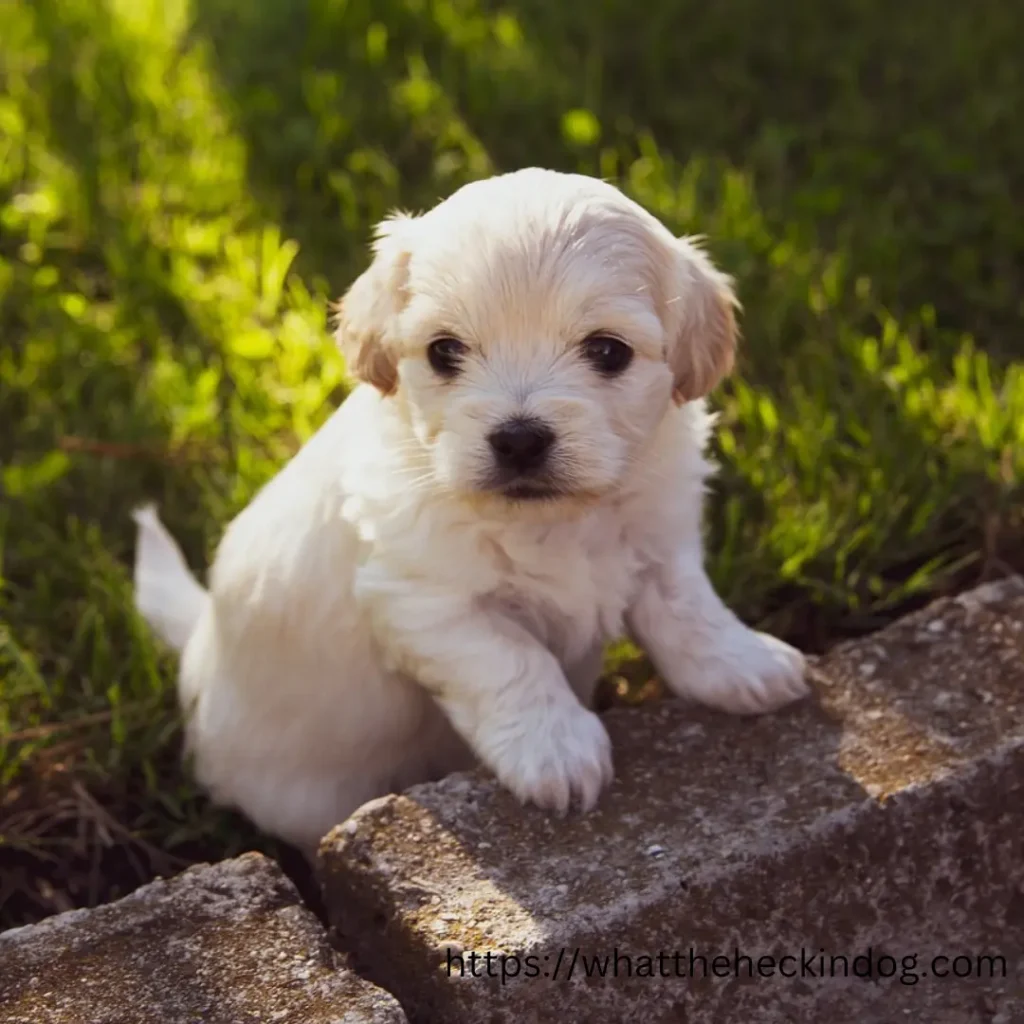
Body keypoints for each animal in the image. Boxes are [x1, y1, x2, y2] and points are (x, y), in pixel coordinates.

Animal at [134, 169, 806, 856]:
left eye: (608, 352)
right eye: (444, 352)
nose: (519, 439)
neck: (553, 520)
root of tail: (199, 648)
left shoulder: (660, 539)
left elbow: (688, 610)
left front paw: (743, 664)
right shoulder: (425, 601)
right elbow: (512, 658)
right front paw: (557, 749)